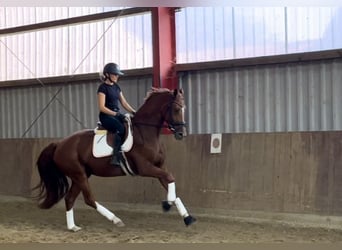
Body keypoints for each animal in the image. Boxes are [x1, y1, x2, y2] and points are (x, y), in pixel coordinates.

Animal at [34, 87, 196, 230]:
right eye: (176, 109)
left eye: (184, 108)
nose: (181, 134)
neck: (145, 132)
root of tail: (59, 144)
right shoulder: (145, 168)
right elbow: (169, 178)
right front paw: (167, 204)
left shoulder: (160, 166)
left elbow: (170, 181)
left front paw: (186, 217)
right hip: (79, 174)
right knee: (89, 199)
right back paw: (115, 220)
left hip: (81, 175)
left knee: (70, 199)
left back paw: (73, 227)